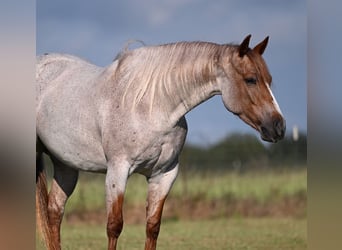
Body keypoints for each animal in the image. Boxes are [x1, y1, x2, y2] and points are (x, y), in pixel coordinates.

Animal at [35, 34, 286, 249]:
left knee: (54, 213)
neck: (151, 106)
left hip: (66, 165)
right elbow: (114, 226)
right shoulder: (117, 171)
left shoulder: (164, 174)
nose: (279, 127)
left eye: (269, 80)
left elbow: (152, 227)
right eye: (251, 80)